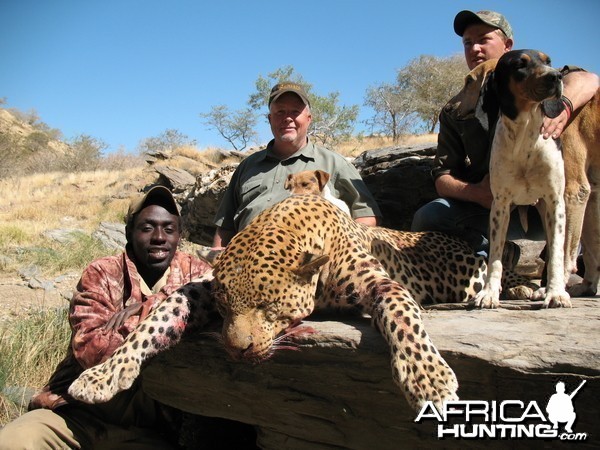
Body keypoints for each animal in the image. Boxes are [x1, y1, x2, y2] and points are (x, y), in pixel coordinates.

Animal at [472, 50, 568, 310]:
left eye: (548, 61)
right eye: (519, 65)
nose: (557, 76)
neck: (526, 135)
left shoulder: (555, 201)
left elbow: (556, 254)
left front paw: (556, 293)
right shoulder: (500, 206)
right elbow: (495, 256)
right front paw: (489, 293)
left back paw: (546, 289)